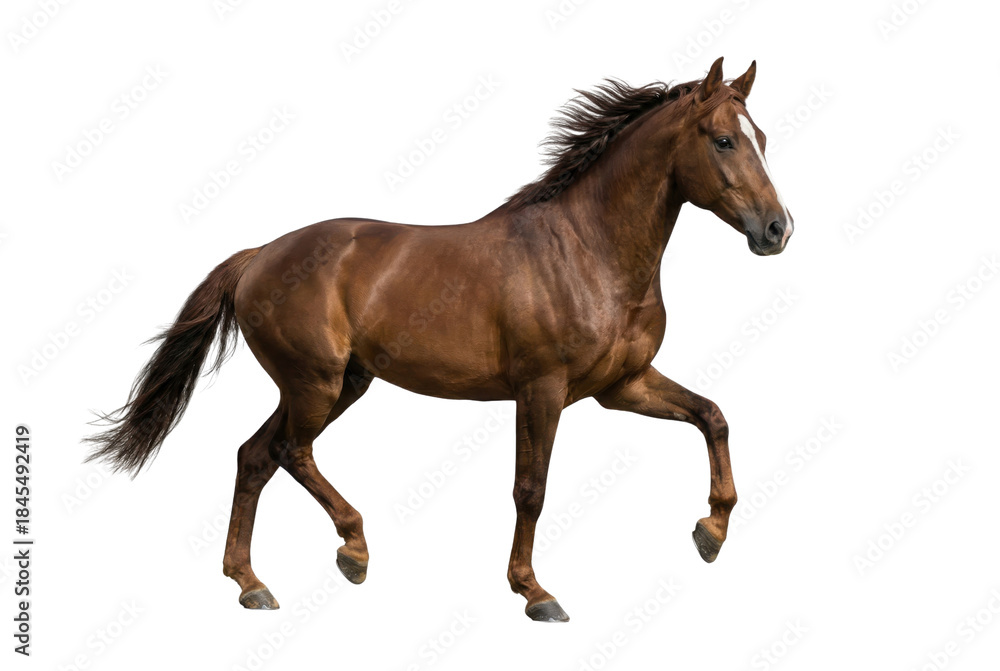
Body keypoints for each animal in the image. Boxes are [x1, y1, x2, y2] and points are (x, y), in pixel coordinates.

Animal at [86, 56, 793, 622]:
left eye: (760, 138)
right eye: (724, 140)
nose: (777, 229)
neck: (588, 251)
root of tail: (259, 255)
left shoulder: (622, 386)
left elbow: (713, 416)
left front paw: (710, 531)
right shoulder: (542, 389)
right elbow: (531, 489)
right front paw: (535, 593)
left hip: (341, 384)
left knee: (254, 456)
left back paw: (251, 584)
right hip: (316, 384)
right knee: (288, 451)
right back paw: (353, 548)